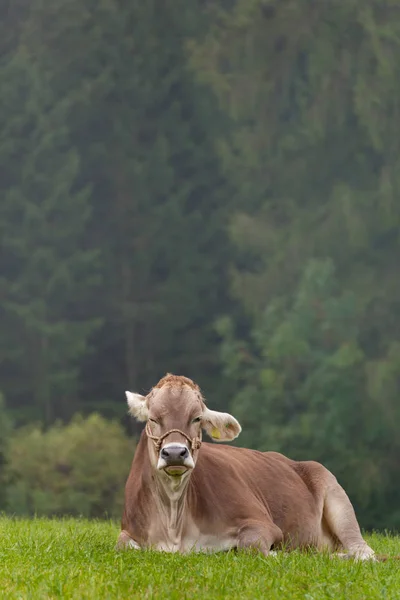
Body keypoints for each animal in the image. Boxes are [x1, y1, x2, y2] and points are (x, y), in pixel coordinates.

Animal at [115, 372, 376, 560]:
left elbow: (250, 546)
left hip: (335, 494)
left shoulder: (262, 523)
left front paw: (280, 554)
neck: (174, 526)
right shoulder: (129, 530)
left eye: (197, 418)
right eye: (153, 418)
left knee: (362, 550)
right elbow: (123, 545)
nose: (175, 453)